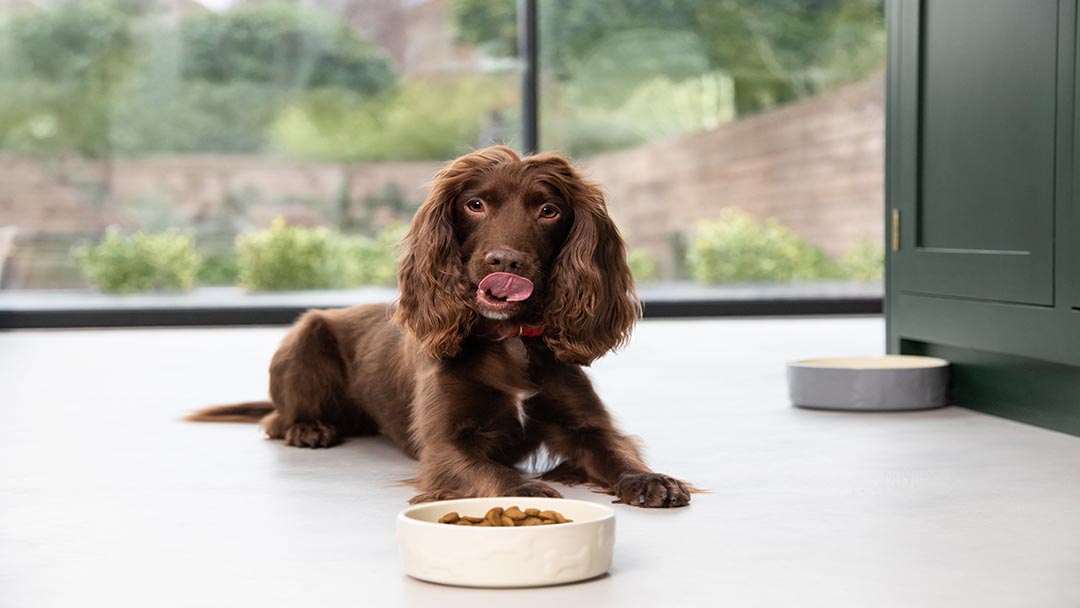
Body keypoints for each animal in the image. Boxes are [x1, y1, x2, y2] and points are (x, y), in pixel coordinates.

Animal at [187, 147, 691, 509]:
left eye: (548, 210)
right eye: (475, 204)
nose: (505, 262)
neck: (508, 340)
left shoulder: (585, 425)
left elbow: (615, 450)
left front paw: (651, 479)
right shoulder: (445, 443)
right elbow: (491, 471)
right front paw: (526, 488)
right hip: (307, 334)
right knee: (275, 419)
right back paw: (309, 428)